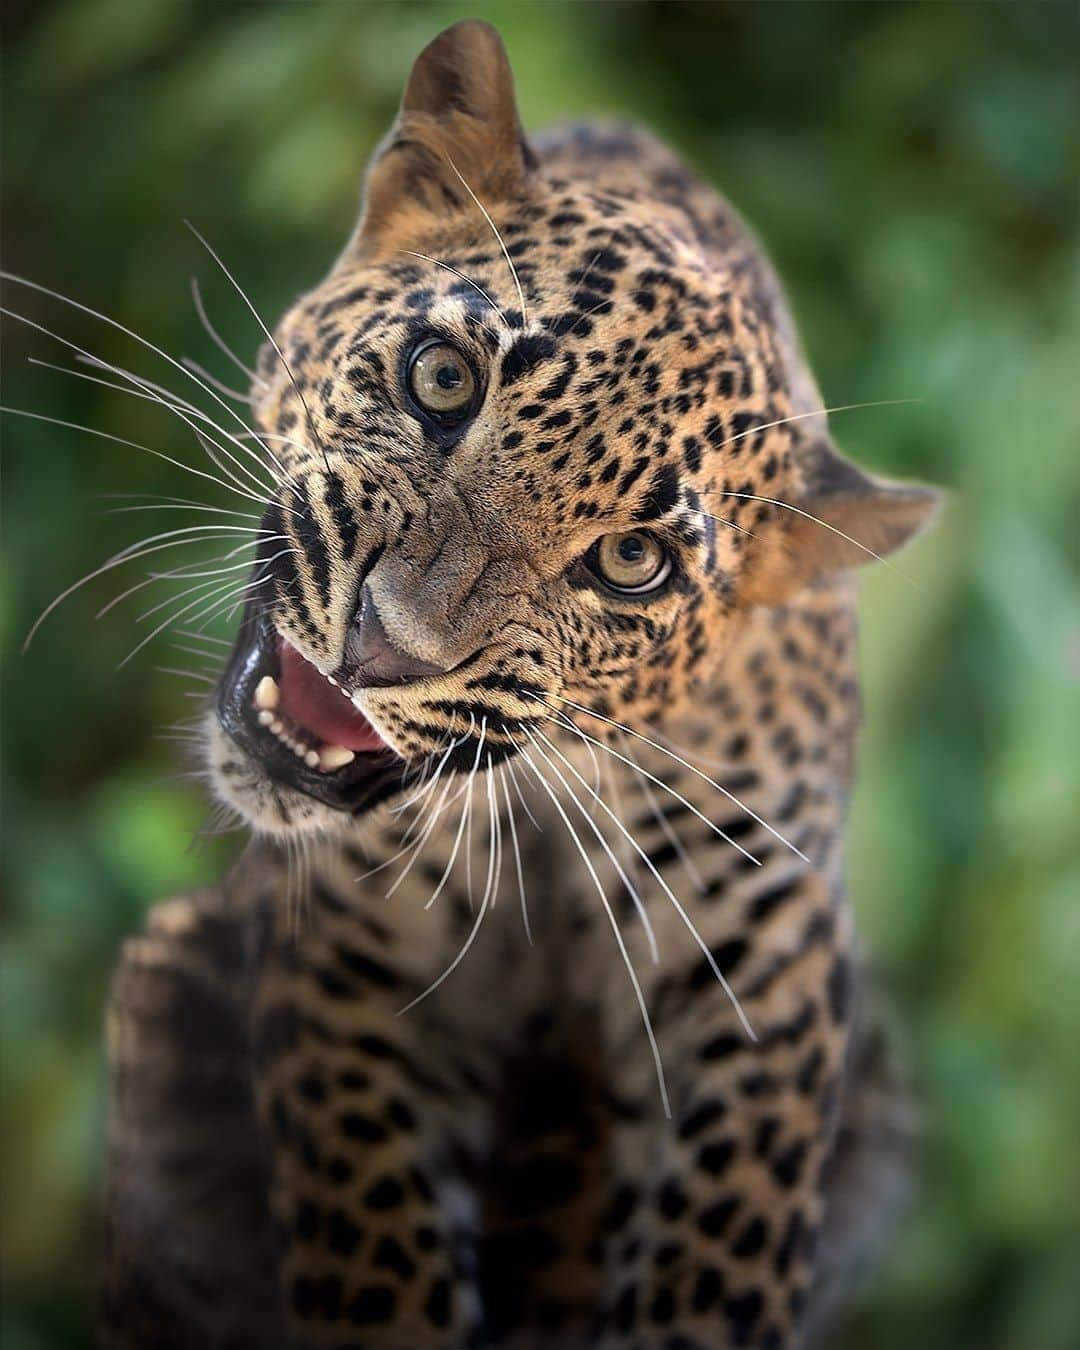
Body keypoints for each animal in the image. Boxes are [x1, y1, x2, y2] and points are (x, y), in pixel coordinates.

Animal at [103, 21, 945, 1350]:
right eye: (441, 379)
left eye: (632, 561)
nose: (385, 646)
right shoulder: (356, 951)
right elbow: (374, 1239)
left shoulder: (761, 959)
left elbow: (721, 1245)